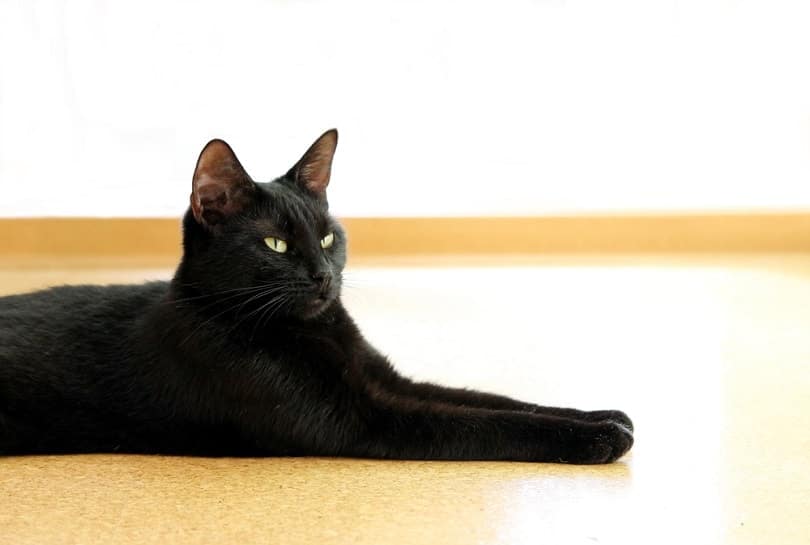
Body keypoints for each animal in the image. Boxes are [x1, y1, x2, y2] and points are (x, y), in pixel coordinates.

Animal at [0, 130, 632, 462]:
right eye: (276, 244)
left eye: (328, 237)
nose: (324, 277)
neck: (316, 333)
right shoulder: (365, 419)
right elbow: (488, 424)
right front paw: (598, 438)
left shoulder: (384, 382)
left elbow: (492, 399)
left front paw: (604, 415)